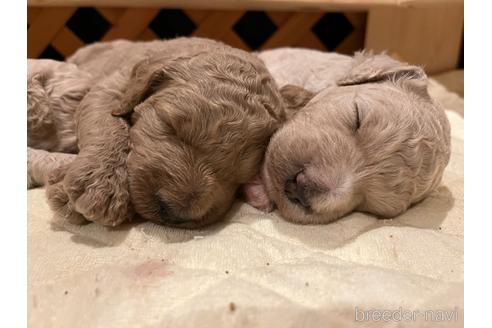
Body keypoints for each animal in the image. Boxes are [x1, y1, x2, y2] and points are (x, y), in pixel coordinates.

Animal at [30, 37, 292, 228]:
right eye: (170, 126)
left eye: (240, 173)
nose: (174, 212)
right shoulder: (110, 88)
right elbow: (108, 124)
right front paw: (101, 186)